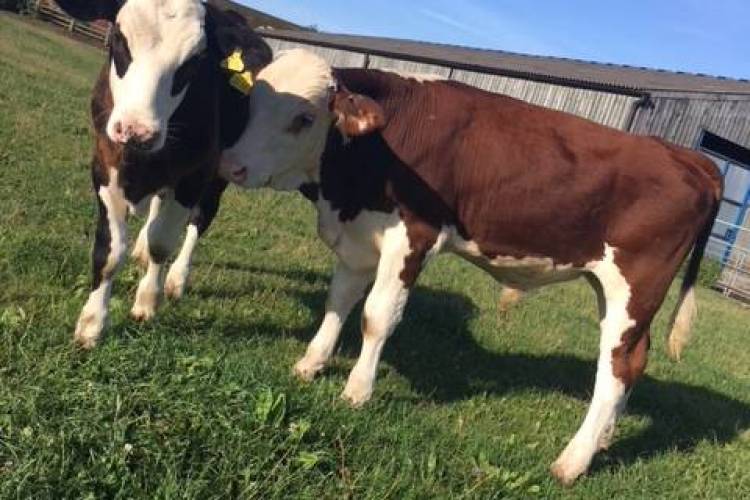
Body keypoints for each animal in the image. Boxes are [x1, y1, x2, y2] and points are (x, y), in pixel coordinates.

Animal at [54, 0, 272, 348]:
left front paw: (147, 302)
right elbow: (110, 249)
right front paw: (92, 322)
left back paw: (176, 279)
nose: (137, 131)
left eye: (195, 61)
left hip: (219, 176)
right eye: (119, 37)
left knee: (198, 221)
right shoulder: (104, 162)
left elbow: (162, 241)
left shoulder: (194, 175)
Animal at [219, 49, 723, 484]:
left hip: (637, 284)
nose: (231, 165)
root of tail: (688, 156)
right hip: (610, 284)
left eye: (303, 118)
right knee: (634, 360)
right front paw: (311, 363)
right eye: (252, 99)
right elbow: (339, 302)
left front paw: (357, 390)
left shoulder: (412, 236)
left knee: (617, 365)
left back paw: (572, 461)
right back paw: (602, 441)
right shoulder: (360, 234)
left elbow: (376, 317)